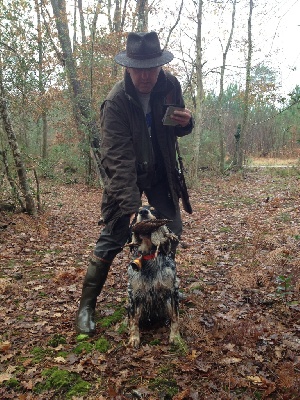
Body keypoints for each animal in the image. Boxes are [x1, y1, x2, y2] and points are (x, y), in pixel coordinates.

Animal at [127, 206, 180, 346]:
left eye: (153, 210)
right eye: (137, 212)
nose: (143, 212)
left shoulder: (172, 292)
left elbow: (175, 317)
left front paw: (175, 336)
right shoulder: (134, 295)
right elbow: (134, 320)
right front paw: (134, 338)